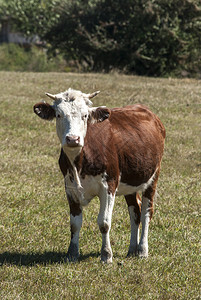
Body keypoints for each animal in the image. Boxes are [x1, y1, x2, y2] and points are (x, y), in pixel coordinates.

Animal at [33, 88, 166, 264]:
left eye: (85, 115)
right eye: (59, 115)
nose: (73, 139)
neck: (79, 161)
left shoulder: (109, 186)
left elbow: (104, 222)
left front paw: (106, 255)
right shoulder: (70, 187)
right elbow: (75, 223)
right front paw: (72, 253)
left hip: (152, 177)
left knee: (146, 213)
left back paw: (143, 250)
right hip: (130, 183)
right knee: (135, 213)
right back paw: (132, 249)